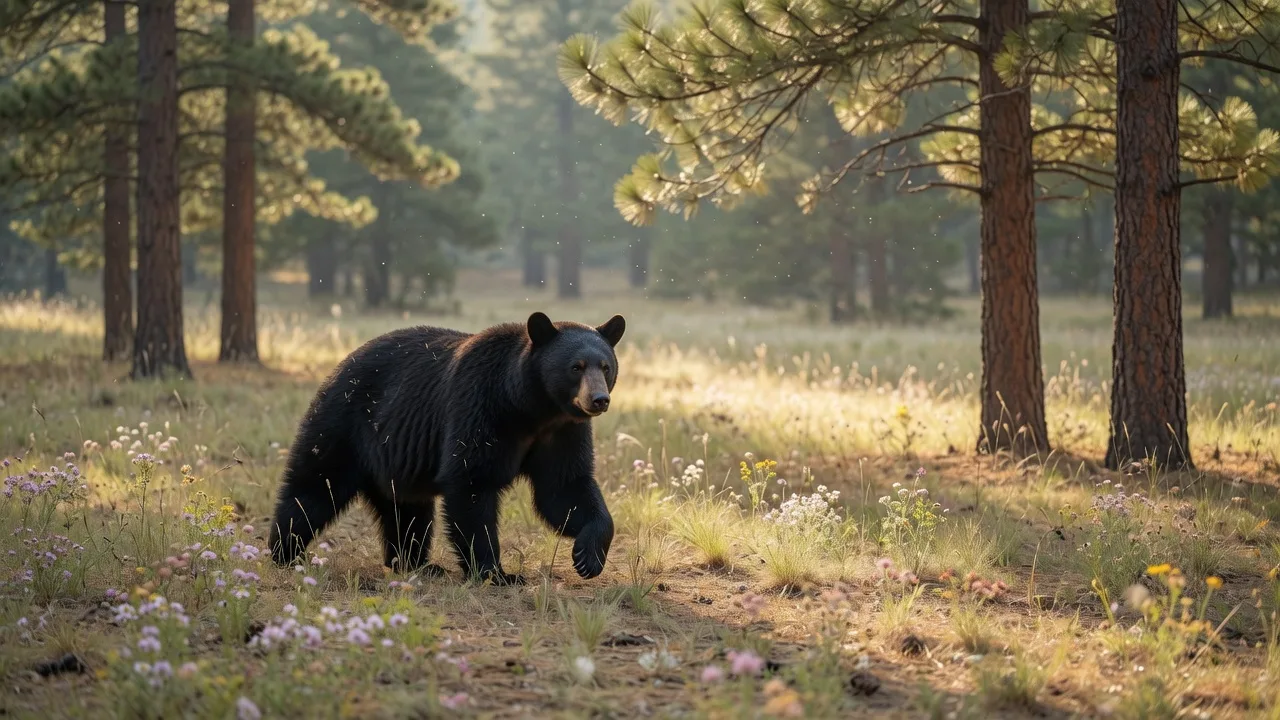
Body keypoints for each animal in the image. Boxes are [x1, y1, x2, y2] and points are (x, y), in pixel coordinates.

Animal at [267, 311, 624, 585]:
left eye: (605, 366)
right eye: (576, 366)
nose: (599, 400)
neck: (531, 408)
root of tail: (338, 366)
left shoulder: (562, 431)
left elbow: (565, 489)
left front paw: (588, 556)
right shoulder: (480, 407)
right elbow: (471, 484)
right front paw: (497, 573)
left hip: (394, 460)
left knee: (407, 512)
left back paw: (417, 564)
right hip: (343, 425)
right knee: (314, 488)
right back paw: (285, 552)